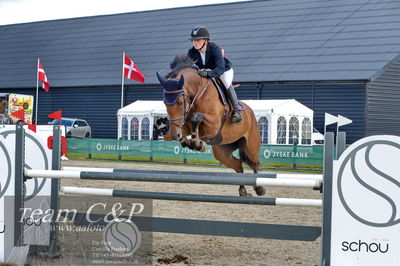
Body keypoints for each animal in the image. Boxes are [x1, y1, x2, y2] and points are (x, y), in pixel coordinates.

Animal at [156, 54, 266, 196]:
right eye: (165, 102)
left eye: (180, 102)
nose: (176, 134)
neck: (197, 94)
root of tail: (251, 113)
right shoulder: (182, 126)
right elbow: (179, 133)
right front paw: (192, 143)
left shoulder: (213, 124)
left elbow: (197, 118)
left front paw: (197, 143)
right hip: (222, 151)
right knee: (238, 165)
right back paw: (243, 191)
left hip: (251, 145)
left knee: (254, 163)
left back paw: (259, 189)